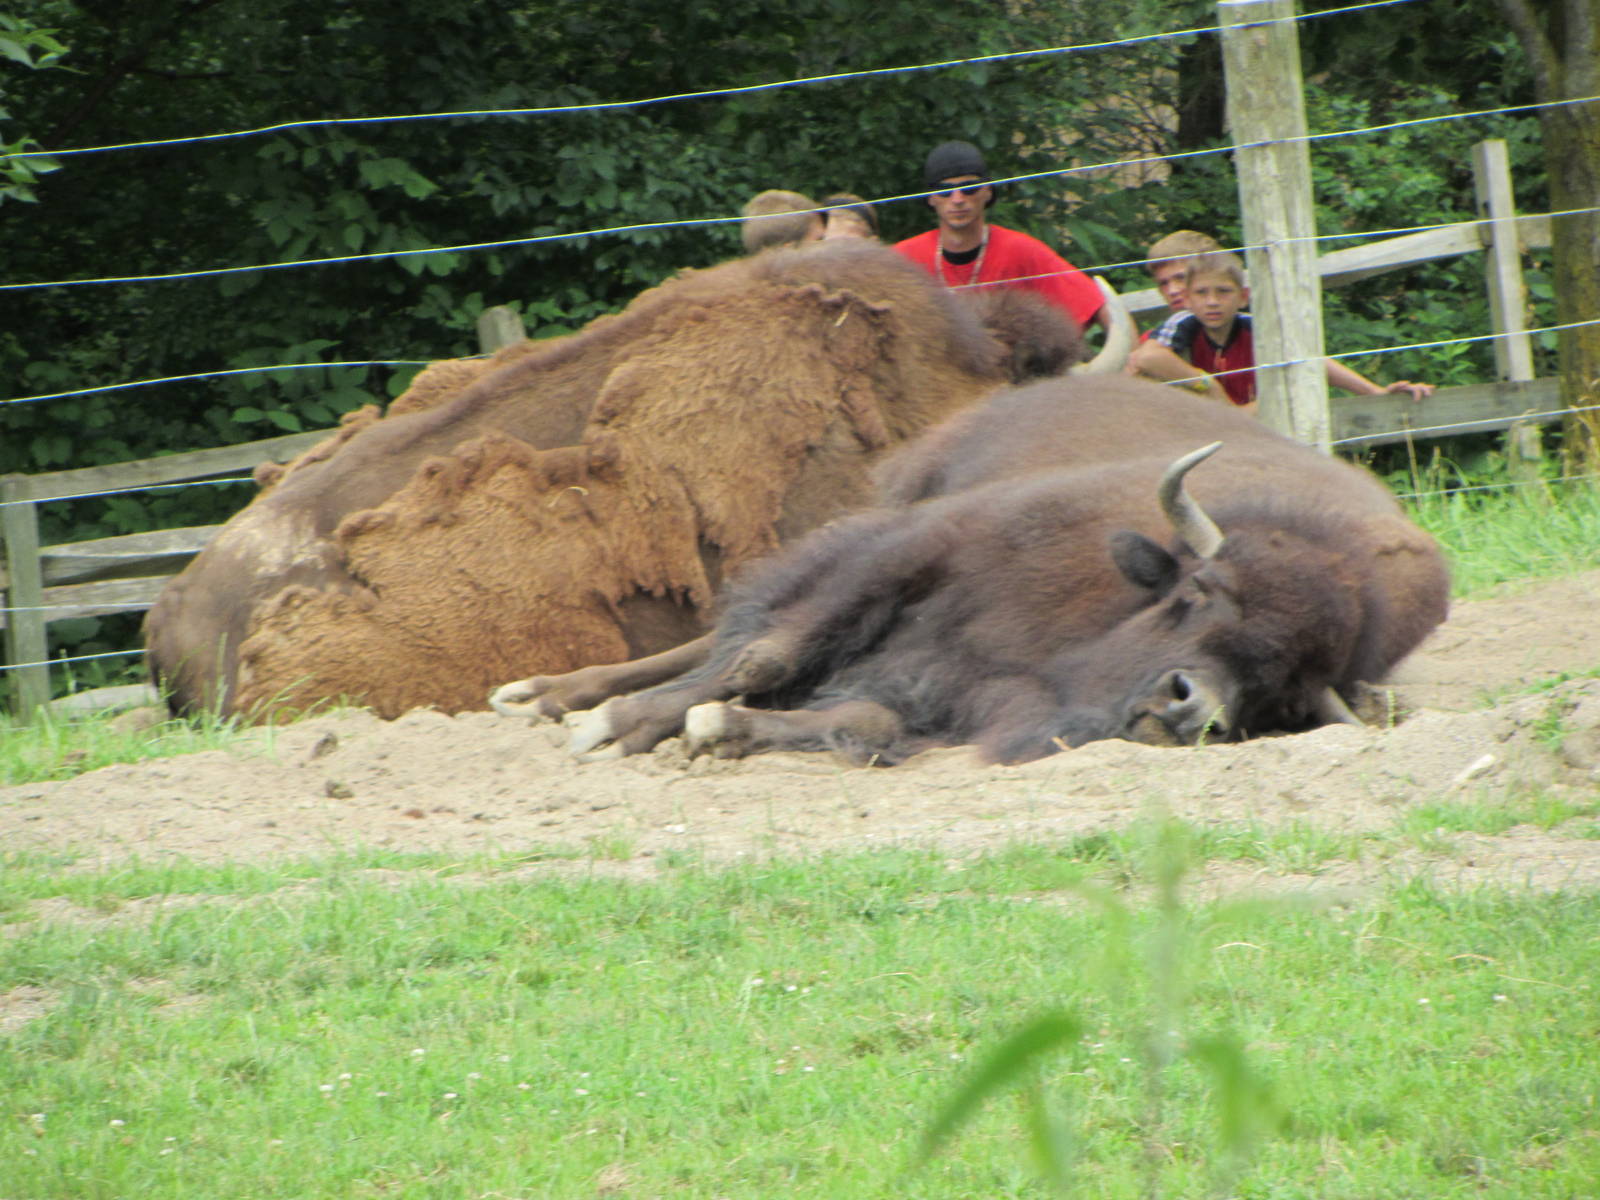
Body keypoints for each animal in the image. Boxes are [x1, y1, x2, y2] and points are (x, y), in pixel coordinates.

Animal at [490, 377, 1450, 763]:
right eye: (1199, 594)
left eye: (1280, 690)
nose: (1188, 708)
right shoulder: (914, 551)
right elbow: (766, 653)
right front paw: (612, 727)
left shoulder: (953, 699)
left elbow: (864, 721)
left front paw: (715, 731)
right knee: (722, 638)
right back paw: (546, 695)